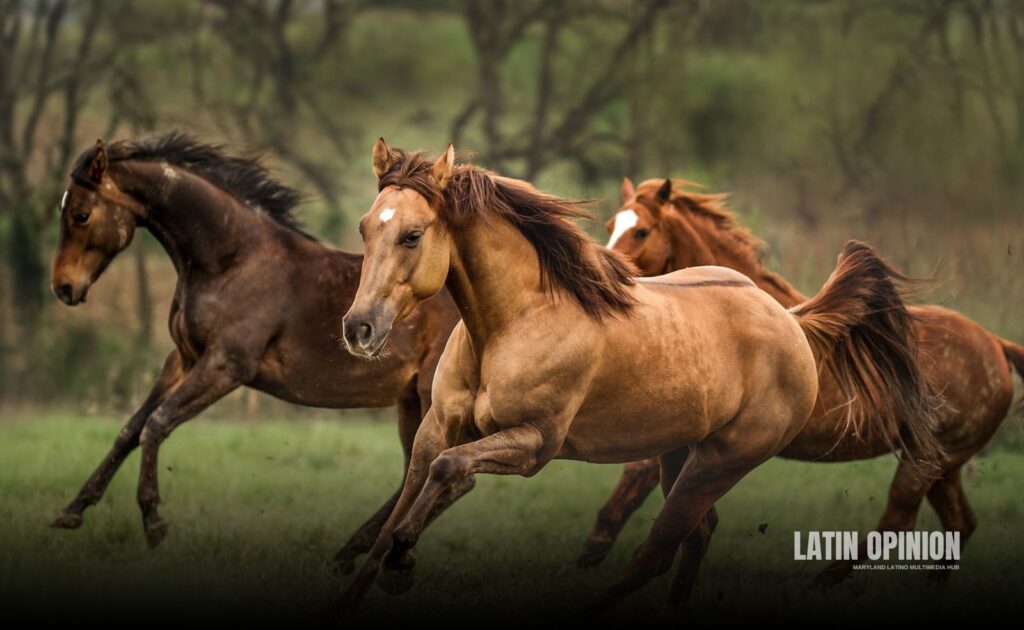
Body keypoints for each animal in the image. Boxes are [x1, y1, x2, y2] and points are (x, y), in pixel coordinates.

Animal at [48, 133, 470, 568]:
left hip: (432, 399)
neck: (231, 261)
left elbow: (156, 424)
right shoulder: (183, 359)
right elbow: (130, 429)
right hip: (410, 402)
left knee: (444, 478)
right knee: (414, 475)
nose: (63, 287)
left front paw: (153, 522)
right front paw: (72, 511)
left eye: (81, 214)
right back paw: (350, 553)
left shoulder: (226, 366)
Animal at [334, 140, 940, 612]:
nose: (359, 328)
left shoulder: (534, 444)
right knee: (696, 537)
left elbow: (446, 471)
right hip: (677, 453)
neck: (515, 321)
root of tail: (792, 320)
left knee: (656, 552)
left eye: (413, 235)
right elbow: (400, 508)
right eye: (365, 228)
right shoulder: (437, 427)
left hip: (721, 461)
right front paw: (375, 574)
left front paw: (403, 562)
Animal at [588, 176, 1023, 584]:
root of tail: (996, 345)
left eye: (642, 231)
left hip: (926, 460)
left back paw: (820, 581)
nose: (609, 273)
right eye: (610, 224)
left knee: (898, 520)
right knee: (959, 524)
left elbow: (625, 498)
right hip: (943, 465)